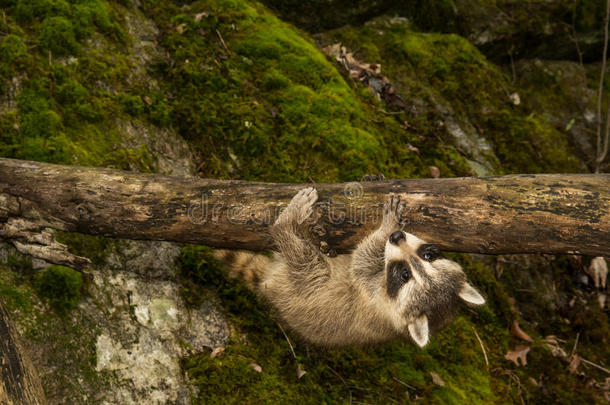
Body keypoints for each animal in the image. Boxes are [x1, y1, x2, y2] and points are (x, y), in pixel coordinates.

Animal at [216, 187, 482, 348]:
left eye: (404, 274)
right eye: (428, 255)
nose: (397, 237)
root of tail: (268, 284)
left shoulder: (372, 297)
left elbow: (360, 263)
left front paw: (384, 230)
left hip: (303, 284)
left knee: (306, 261)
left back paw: (286, 225)